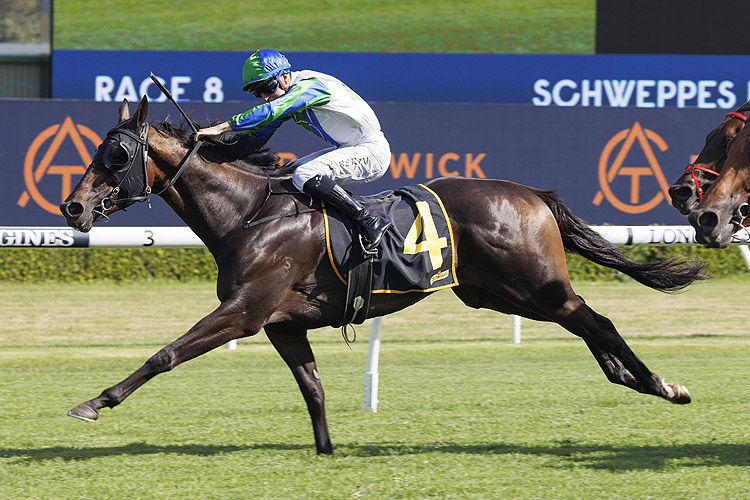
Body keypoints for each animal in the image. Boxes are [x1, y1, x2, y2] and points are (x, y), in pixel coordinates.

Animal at [61, 95, 708, 456]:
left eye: (116, 154)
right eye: (98, 149)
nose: (73, 206)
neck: (250, 213)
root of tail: (532, 193)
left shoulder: (244, 311)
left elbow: (165, 354)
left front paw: (94, 402)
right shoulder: (281, 323)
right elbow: (313, 390)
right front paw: (326, 453)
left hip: (531, 284)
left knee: (598, 319)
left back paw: (661, 385)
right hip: (500, 293)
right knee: (587, 322)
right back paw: (627, 376)